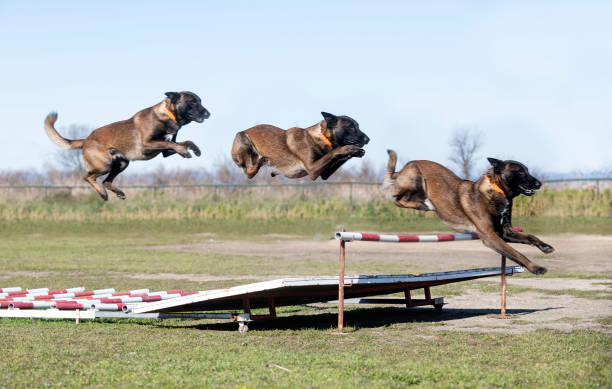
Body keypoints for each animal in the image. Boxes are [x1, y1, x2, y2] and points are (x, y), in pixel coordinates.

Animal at [44, 91, 209, 200]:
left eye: (200, 101)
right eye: (192, 102)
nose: (208, 114)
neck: (168, 114)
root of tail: (86, 140)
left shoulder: (166, 150)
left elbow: (185, 142)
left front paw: (194, 149)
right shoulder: (147, 145)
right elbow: (171, 143)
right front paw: (184, 151)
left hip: (122, 163)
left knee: (106, 181)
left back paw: (118, 192)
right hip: (104, 165)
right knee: (88, 177)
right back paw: (103, 194)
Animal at [232, 111, 370, 180]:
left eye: (357, 126)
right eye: (350, 127)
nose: (368, 139)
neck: (322, 138)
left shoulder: (324, 174)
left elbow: (338, 156)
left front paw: (356, 152)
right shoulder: (313, 169)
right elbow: (334, 152)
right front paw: (348, 149)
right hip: (243, 138)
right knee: (250, 173)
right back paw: (262, 160)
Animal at [388, 150, 556, 274]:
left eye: (527, 170)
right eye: (520, 172)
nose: (539, 184)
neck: (497, 190)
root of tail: (401, 170)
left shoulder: (504, 232)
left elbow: (530, 236)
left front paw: (544, 246)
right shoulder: (490, 236)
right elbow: (516, 253)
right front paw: (536, 268)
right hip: (415, 177)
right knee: (397, 199)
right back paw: (423, 205)